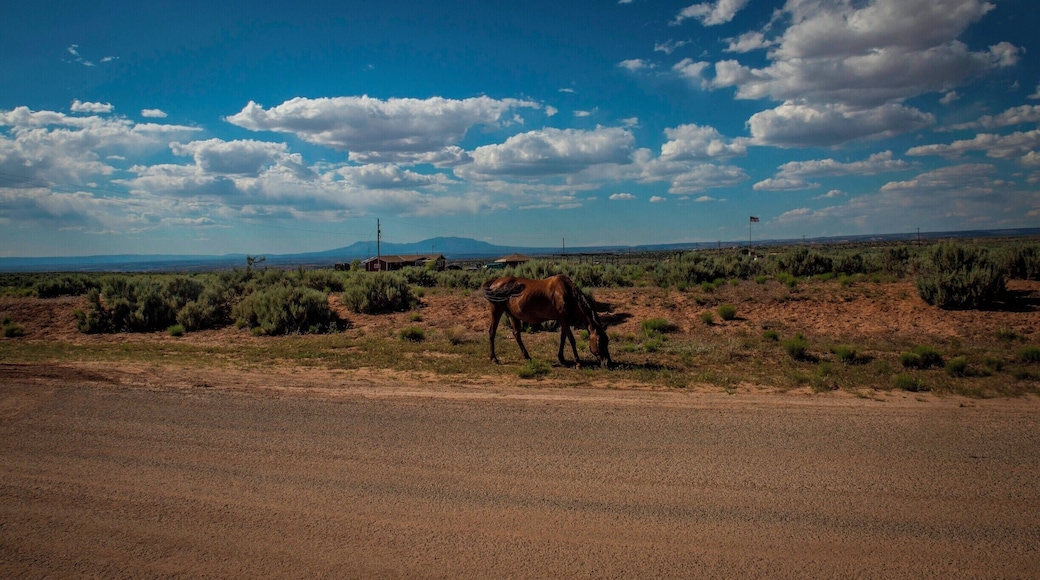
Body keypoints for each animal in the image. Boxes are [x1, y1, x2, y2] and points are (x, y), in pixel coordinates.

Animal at [482, 274, 611, 368]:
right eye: (599, 342)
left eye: (607, 341)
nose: (607, 363)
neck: (567, 292)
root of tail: (494, 282)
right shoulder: (564, 320)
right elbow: (571, 340)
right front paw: (578, 362)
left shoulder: (563, 321)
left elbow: (563, 338)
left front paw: (562, 359)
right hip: (496, 310)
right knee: (492, 332)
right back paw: (494, 358)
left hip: (512, 314)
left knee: (516, 334)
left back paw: (527, 356)